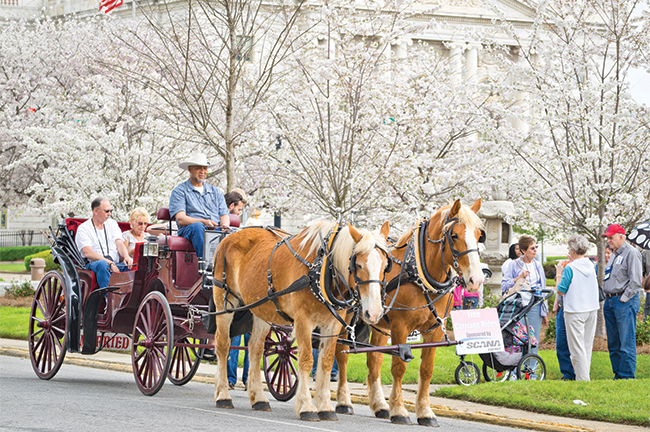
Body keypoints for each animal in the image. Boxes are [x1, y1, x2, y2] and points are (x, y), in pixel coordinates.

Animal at [210, 221, 388, 420]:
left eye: (385, 266)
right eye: (358, 265)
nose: (374, 313)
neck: (321, 270)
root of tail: (231, 235)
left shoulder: (332, 325)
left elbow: (326, 362)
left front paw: (325, 407)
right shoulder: (303, 321)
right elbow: (306, 360)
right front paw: (306, 406)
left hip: (261, 308)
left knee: (255, 349)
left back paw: (259, 398)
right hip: (225, 302)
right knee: (223, 345)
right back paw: (223, 395)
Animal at [334, 198, 480, 426]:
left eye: (479, 235)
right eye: (454, 235)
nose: (476, 279)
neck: (419, 273)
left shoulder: (434, 330)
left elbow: (426, 369)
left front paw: (425, 411)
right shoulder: (400, 327)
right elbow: (398, 367)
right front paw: (399, 410)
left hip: (378, 323)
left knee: (374, 361)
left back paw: (380, 405)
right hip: (346, 318)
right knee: (341, 354)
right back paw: (343, 401)